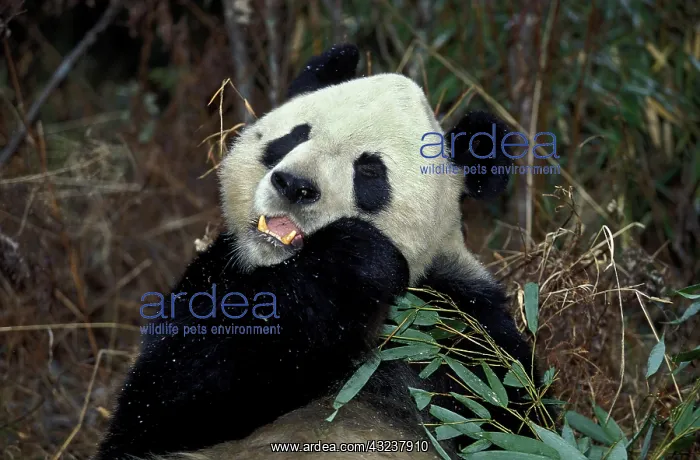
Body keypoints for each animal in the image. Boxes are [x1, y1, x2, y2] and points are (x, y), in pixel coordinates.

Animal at [94, 44, 542, 460]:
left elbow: (508, 420)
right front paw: (353, 258)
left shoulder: (462, 328)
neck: (282, 271)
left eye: (369, 170)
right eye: (295, 136)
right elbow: (167, 399)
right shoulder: (213, 277)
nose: (294, 186)